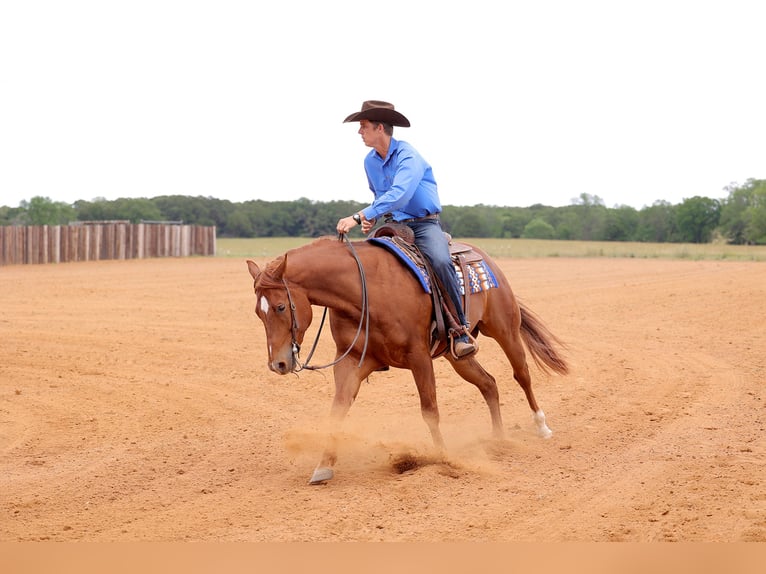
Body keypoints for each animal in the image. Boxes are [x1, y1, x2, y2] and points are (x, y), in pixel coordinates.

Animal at [248, 236, 568, 484]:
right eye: (257, 312)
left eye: (280, 306)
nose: (278, 364)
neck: (365, 291)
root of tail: (484, 257)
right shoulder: (352, 361)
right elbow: (337, 411)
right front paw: (323, 466)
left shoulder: (419, 357)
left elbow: (430, 410)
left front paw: (443, 458)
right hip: (458, 355)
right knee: (488, 384)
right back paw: (499, 439)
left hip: (505, 329)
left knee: (521, 374)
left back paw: (542, 427)